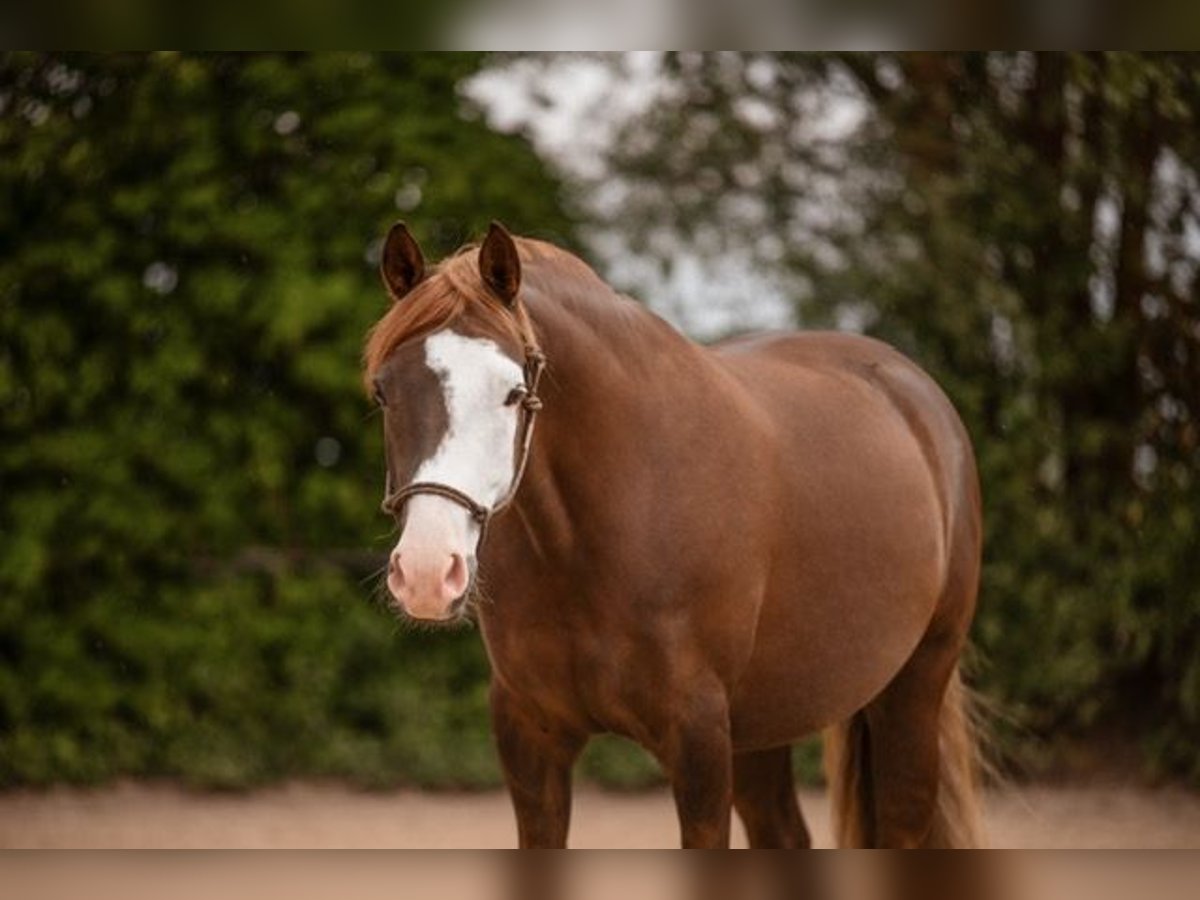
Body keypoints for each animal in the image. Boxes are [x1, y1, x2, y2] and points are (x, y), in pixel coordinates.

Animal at [362, 222, 984, 849]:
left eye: (513, 393)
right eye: (384, 392)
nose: (425, 573)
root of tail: (915, 394)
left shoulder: (698, 742)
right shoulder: (531, 739)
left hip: (913, 686)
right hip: (763, 723)